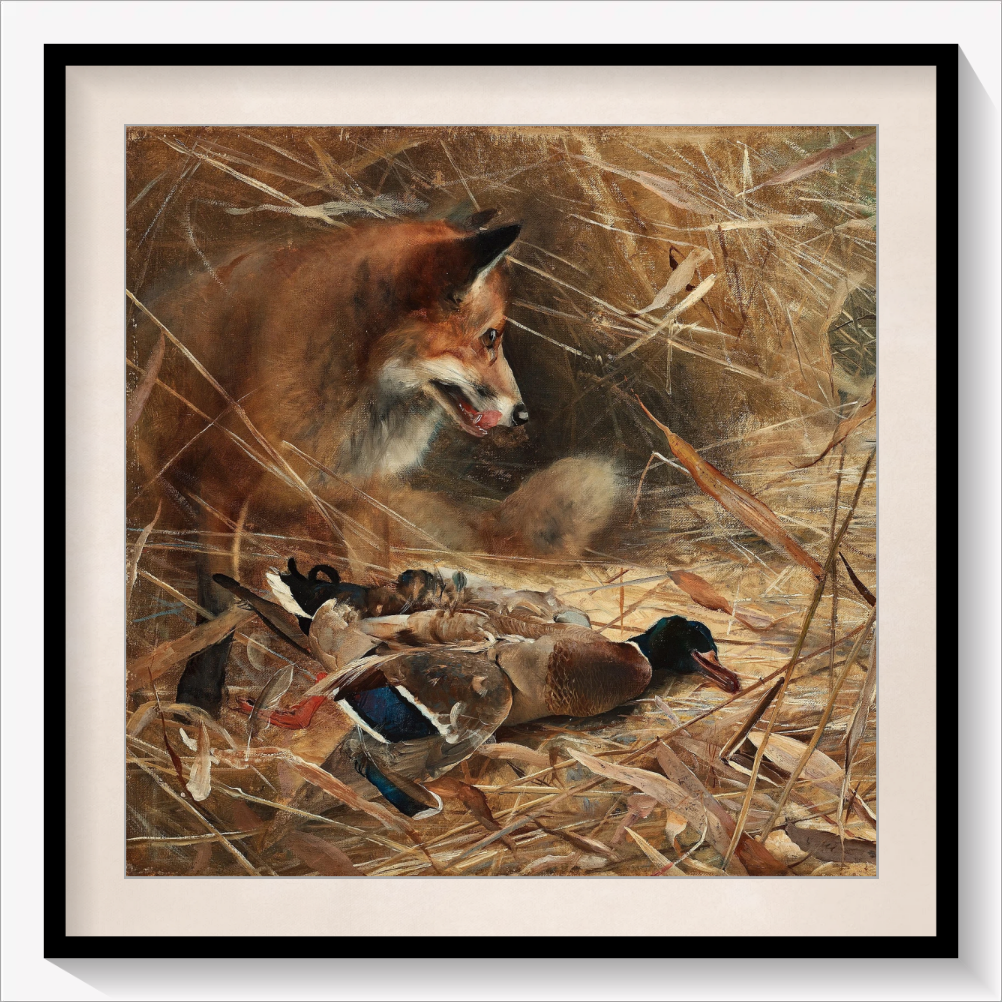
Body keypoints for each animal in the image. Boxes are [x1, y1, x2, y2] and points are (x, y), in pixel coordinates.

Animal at [132, 214, 622, 713]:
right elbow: (219, 604)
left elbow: (371, 583)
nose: (523, 415)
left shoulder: (363, 495)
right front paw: (199, 694)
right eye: (491, 336)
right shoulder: (220, 487)